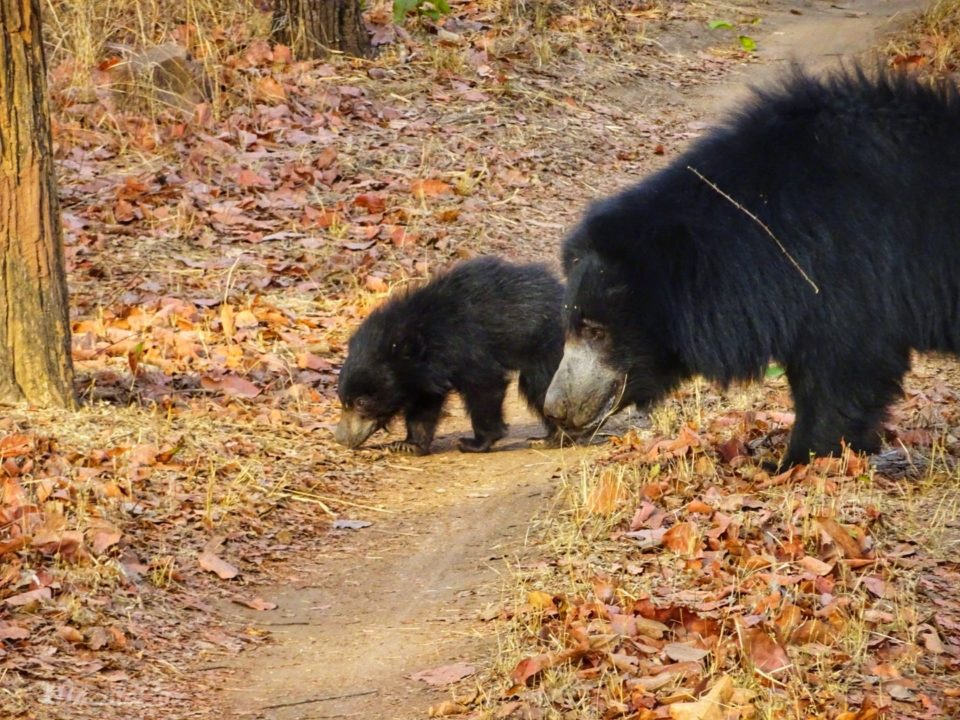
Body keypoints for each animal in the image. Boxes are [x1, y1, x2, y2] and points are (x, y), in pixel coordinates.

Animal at [335, 256, 565, 455]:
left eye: (361, 402)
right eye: (344, 400)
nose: (341, 439)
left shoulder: (469, 346)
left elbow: (485, 384)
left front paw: (474, 443)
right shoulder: (422, 377)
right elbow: (423, 407)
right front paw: (408, 444)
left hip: (548, 347)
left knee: (541, 385)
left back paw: (554, 437)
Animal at [543, 65, 960, 468]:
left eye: (596, 331)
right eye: (570, 327)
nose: (556, 408)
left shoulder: (848, 265)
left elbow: (845, 364)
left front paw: (795, 460)